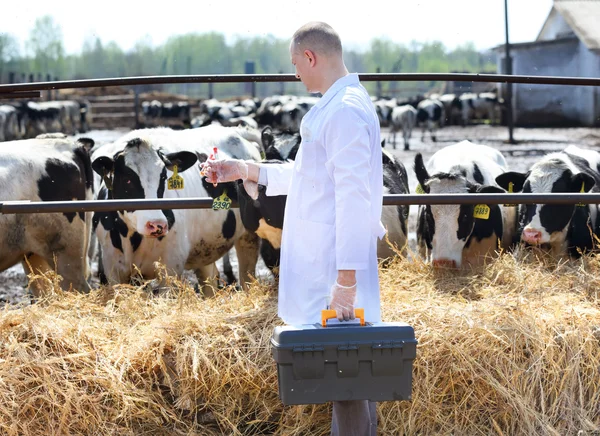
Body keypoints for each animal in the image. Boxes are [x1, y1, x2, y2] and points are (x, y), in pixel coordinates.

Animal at [90, 126, 262, 296]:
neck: (134, 238)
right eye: (127, 179)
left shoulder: (171, 268)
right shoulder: (114, 271)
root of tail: (234, 130)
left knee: (247, 277)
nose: (157, 224)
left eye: (163, 177)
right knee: (210, 280)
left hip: (248, 237)